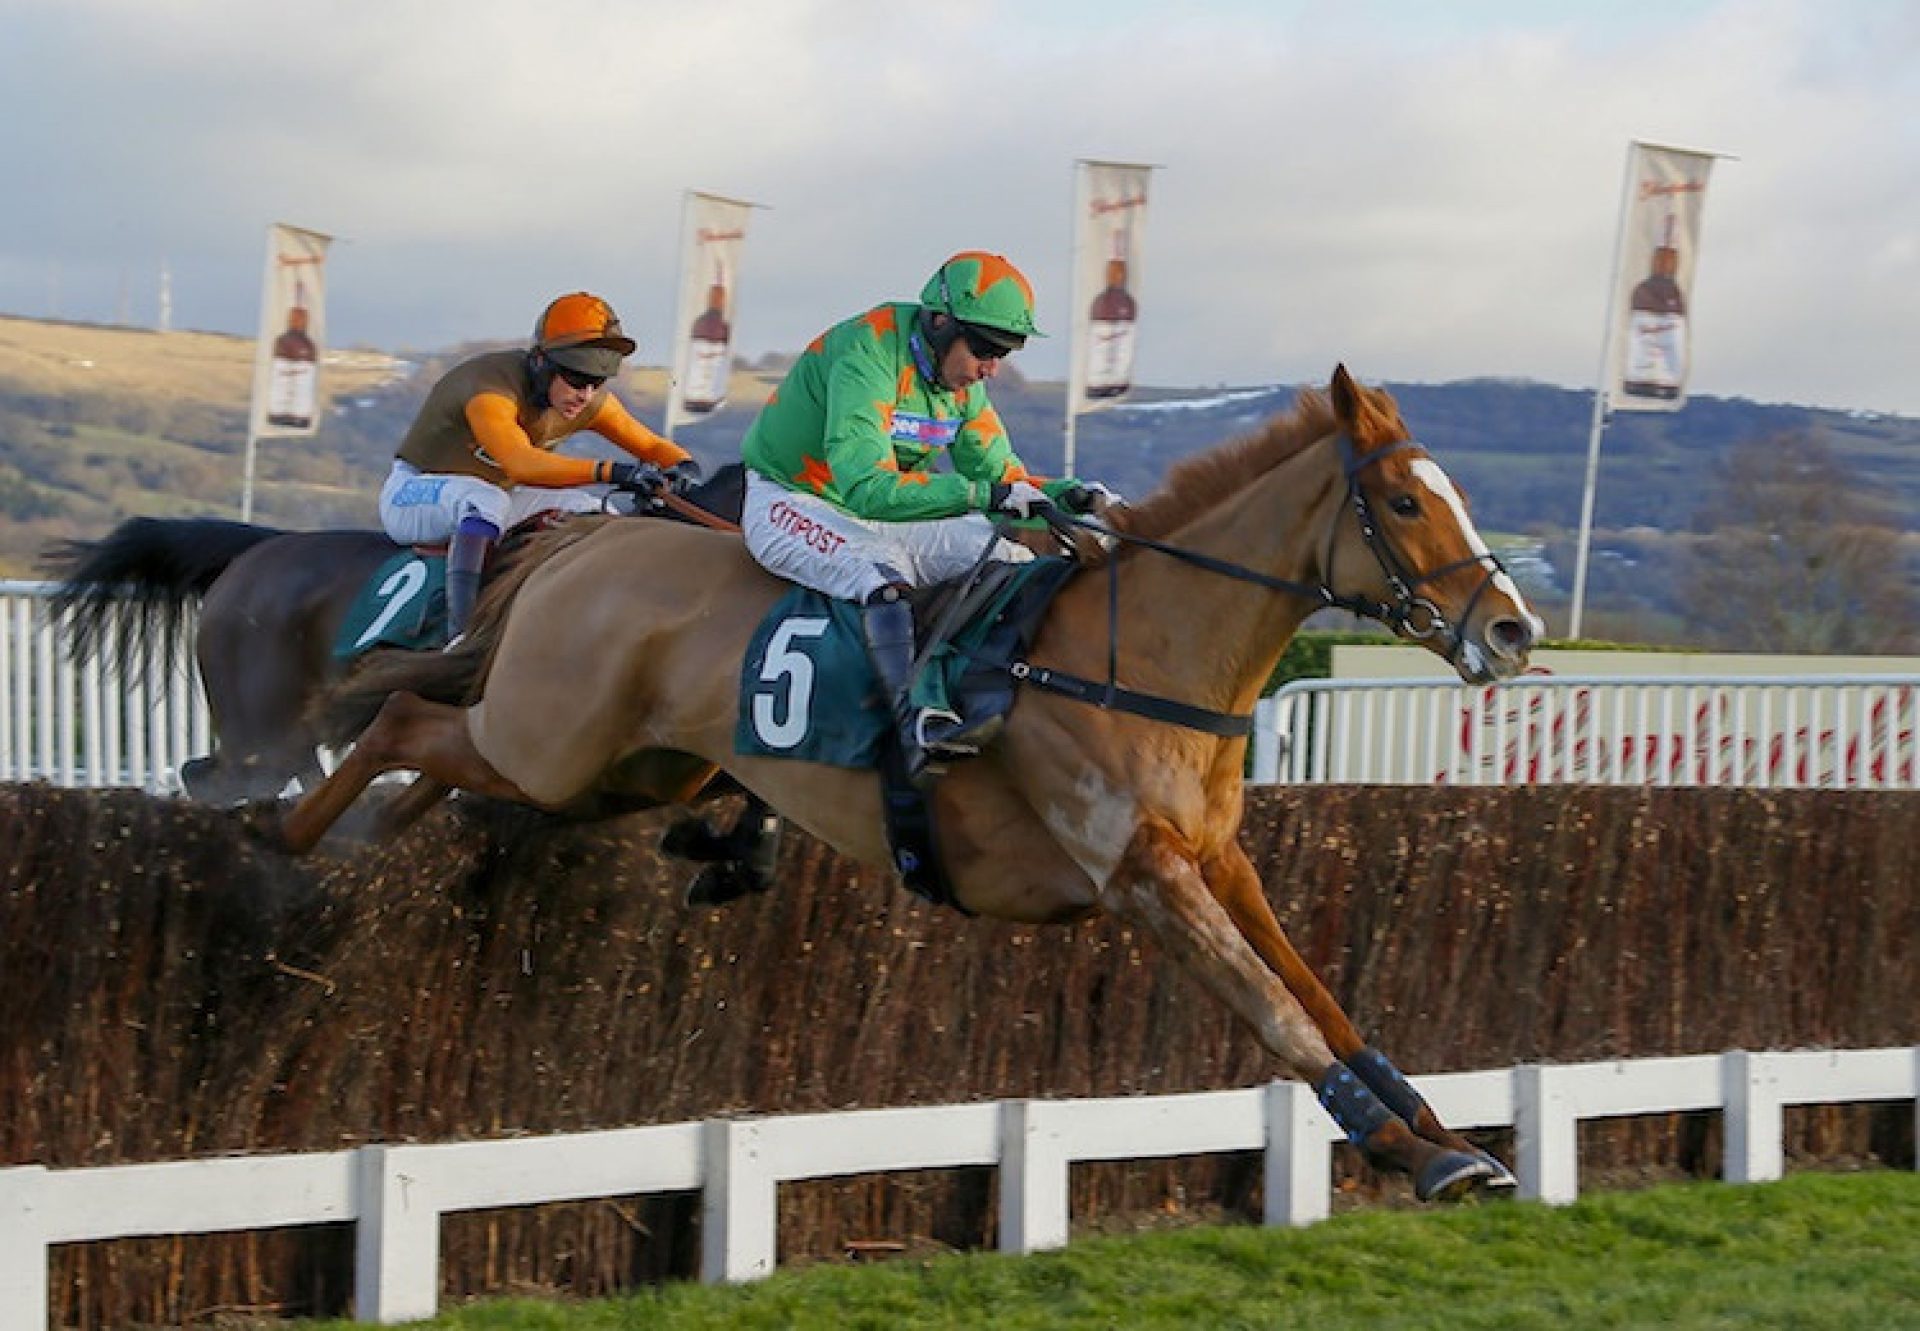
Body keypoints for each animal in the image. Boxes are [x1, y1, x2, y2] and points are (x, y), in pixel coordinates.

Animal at [280, 368, 1543, 1198]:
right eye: (1408, 502)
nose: (1514, 630)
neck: (1138, 655)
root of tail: (585, 535)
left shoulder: (1215, 856)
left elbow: (1321, 993)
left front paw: (1441, 1130)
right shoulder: (1141, 876)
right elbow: (1274, 1009)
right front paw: (1414, 1153)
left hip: (617, 769)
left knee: (439, 749)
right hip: (550, 739)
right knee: (399, 714)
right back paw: (286, 848)